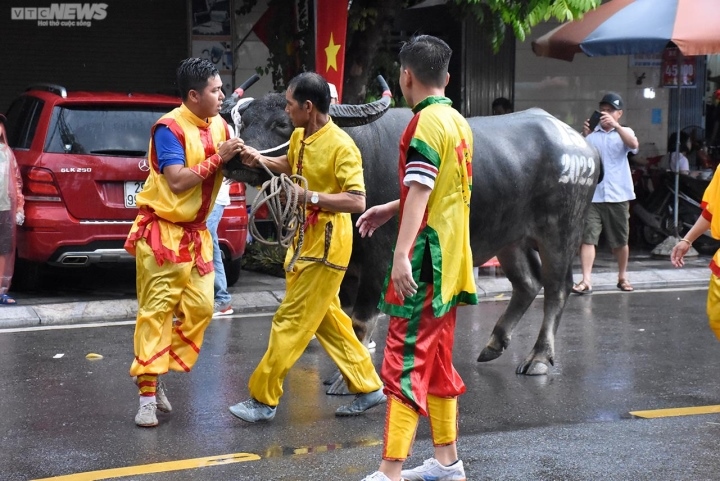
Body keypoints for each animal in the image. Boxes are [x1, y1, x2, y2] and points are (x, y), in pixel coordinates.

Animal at [224, 91, 596, 382]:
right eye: (244, 121)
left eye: (282, 123)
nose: (237, 157)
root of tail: (581, 146)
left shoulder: (380, 257)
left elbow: (361, 320)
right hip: (509, 237)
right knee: (527, 283)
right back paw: (493, 344)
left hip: (560, 231)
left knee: (557, 287)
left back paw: (538, 358)